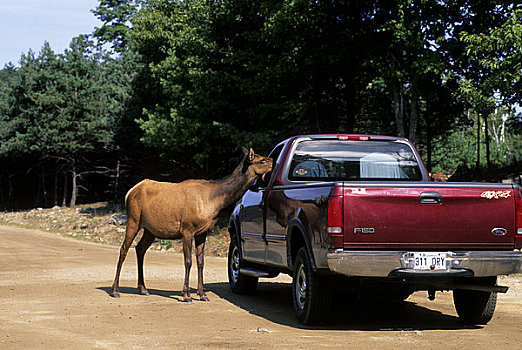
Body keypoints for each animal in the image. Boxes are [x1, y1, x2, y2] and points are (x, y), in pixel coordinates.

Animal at [109, 148, 272, 300]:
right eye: (262, 160)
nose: (274, 163)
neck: (215, 202)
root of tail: (129, 192)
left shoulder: (203, 232)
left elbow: (201, 262)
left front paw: (202, 294)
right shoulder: (187, 229)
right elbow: (188, 261)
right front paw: (186, 294)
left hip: (150, 230)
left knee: (139, 249)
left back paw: (143, 288)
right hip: (133, 219)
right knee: (123, 249)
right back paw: (115, 290)